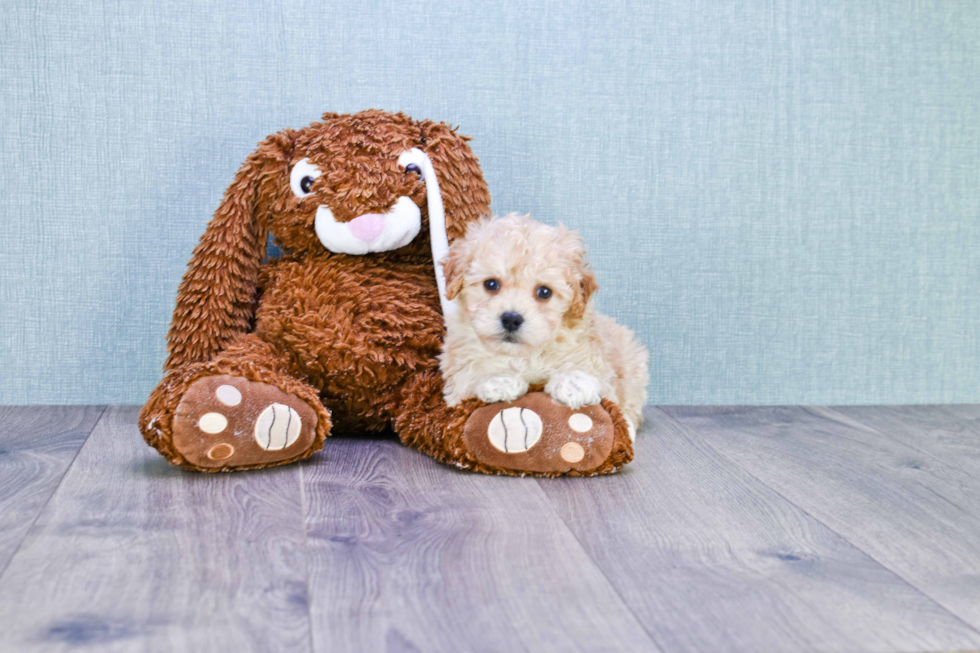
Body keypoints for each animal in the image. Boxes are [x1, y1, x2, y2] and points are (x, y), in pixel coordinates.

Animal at [440, 214, 648, 436]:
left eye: (544, 292)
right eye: (491, 284)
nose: (511, 319)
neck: (525, 356)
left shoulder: (598, 360)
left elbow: (599, 379)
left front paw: (574, 381)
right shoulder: (456, 371)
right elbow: (468, 376)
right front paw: (498, 379)